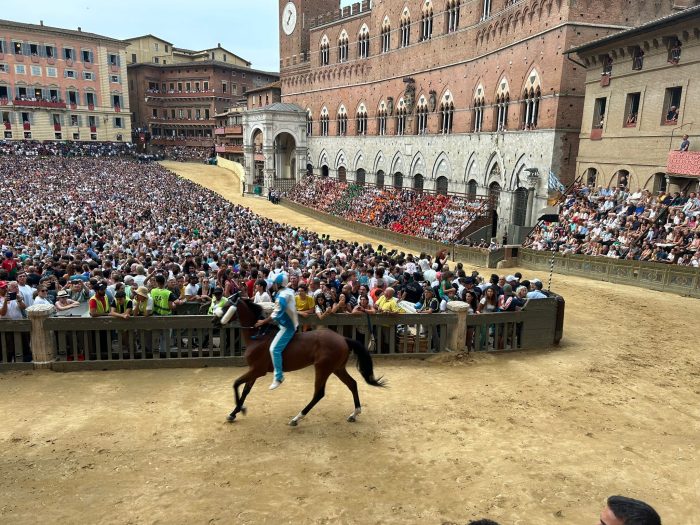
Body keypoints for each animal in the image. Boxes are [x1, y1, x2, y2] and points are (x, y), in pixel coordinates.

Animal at [216, 292, 386, 424]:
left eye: (226, 306)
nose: (214, 320)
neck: (258, 336)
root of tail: (343, 338)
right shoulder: (254, 370)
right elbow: (245, 390)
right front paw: (235, 412)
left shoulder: (257, 370)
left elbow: (236, 383)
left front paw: (239, 410)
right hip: (337, 368)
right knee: (352, 384)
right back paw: (354, 414)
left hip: (323, 368)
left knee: (319, 393)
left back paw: (297, 418)